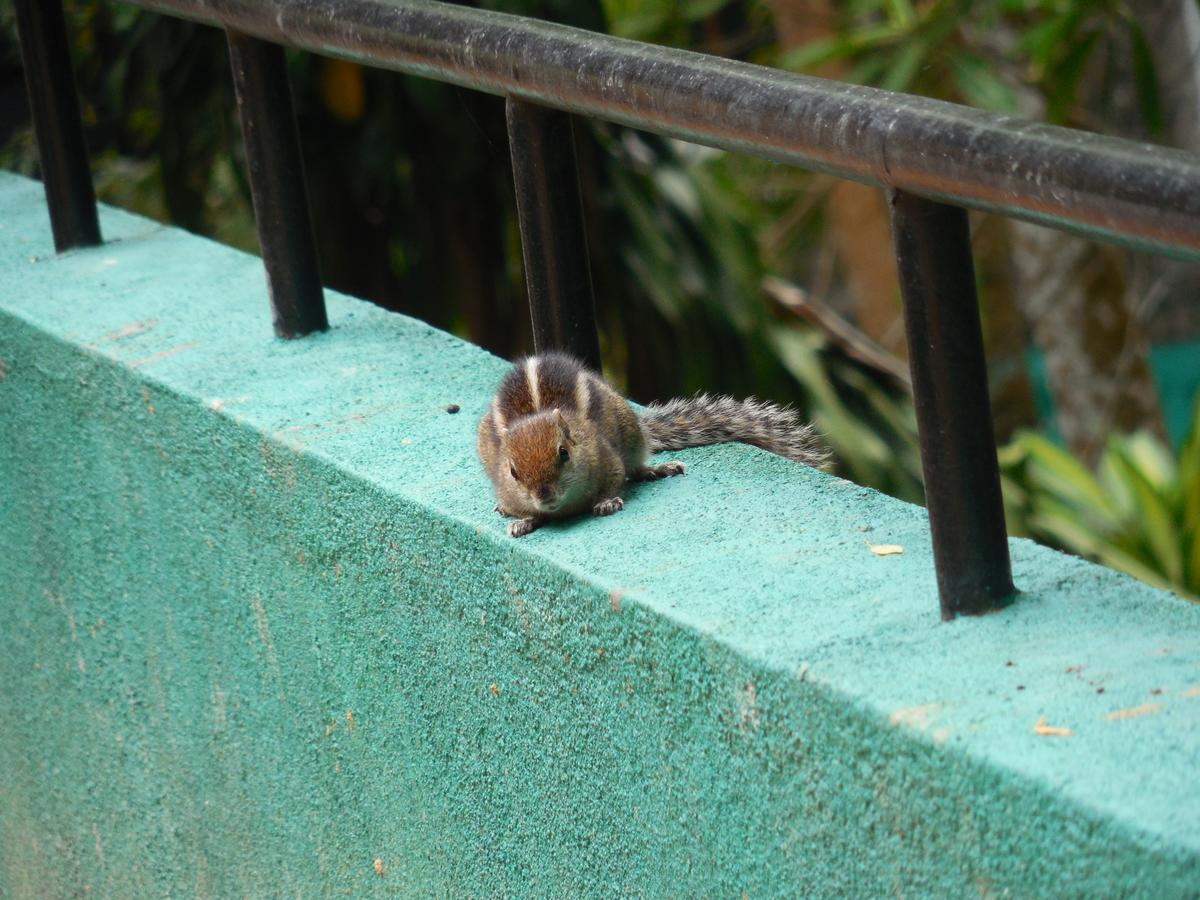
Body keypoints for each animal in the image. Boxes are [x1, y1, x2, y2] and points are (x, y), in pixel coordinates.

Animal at [472, 350, 830, 535]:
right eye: (513, 472)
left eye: (564, 454)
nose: (544, 495)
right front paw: (523, 520)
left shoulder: (607, 460)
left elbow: (616, 478)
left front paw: (606, 502)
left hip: (629, 430)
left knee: (636, 464)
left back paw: (654, 470)